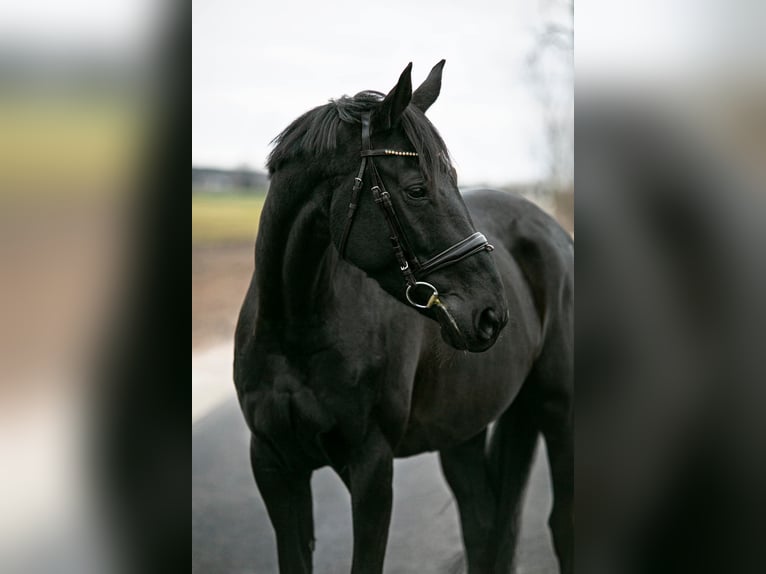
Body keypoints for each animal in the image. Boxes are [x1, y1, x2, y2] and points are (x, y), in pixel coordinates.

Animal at [237, 60, 572, 572]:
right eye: (416, 190)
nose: (491, 314)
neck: (294, 333)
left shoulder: (371, 468)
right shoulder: (274, 467)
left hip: (557, 408)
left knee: (560, 525)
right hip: (464, 431)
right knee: (482, 525)